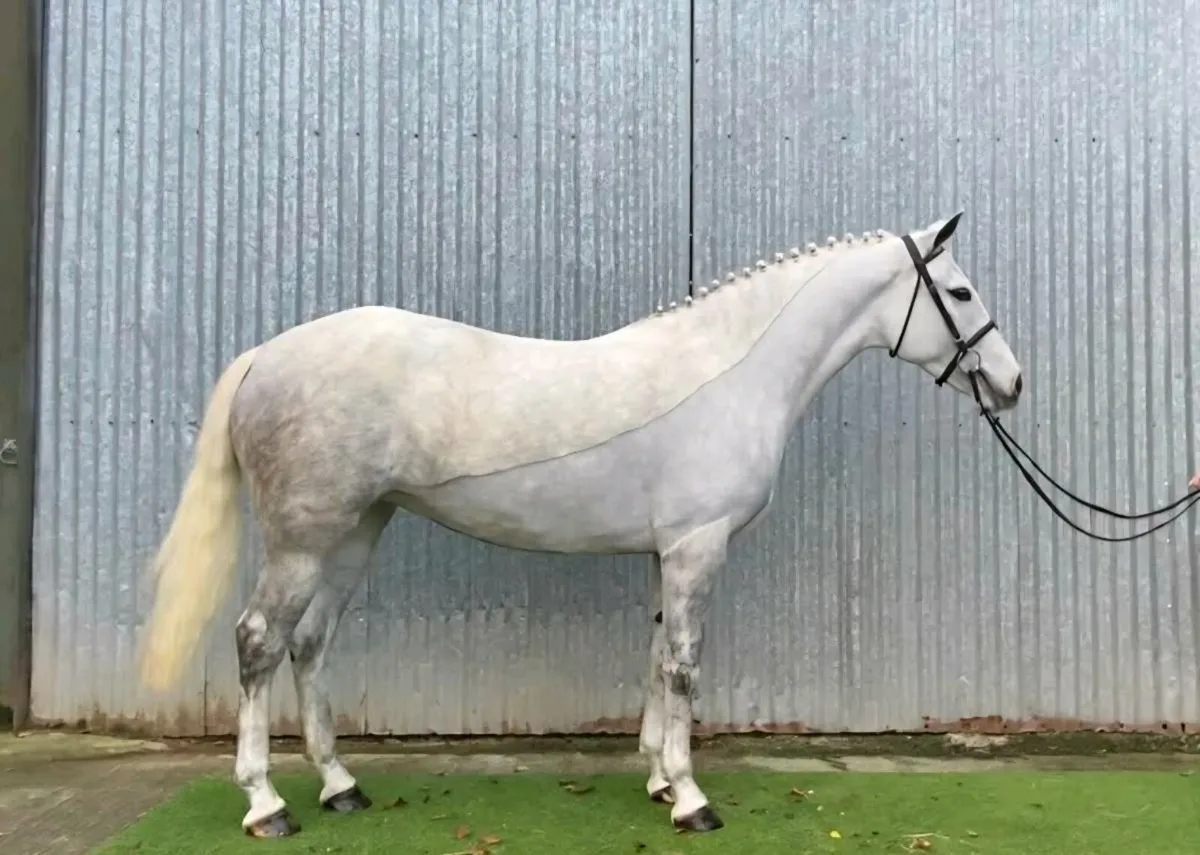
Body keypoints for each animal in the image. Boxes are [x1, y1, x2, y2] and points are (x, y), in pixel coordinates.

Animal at [137, 212, 1023, 838]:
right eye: (963, 293)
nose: (1011, 382)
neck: (729, 370)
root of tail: (264, 355)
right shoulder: (696, 547)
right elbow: (685, 667)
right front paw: (691, 798)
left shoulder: (666, 554)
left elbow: (658, 656)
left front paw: (659, 777)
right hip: (303, 539)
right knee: (258, 641)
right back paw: (266, 804)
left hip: (355, 533)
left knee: (311, 643)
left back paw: (340, 786)